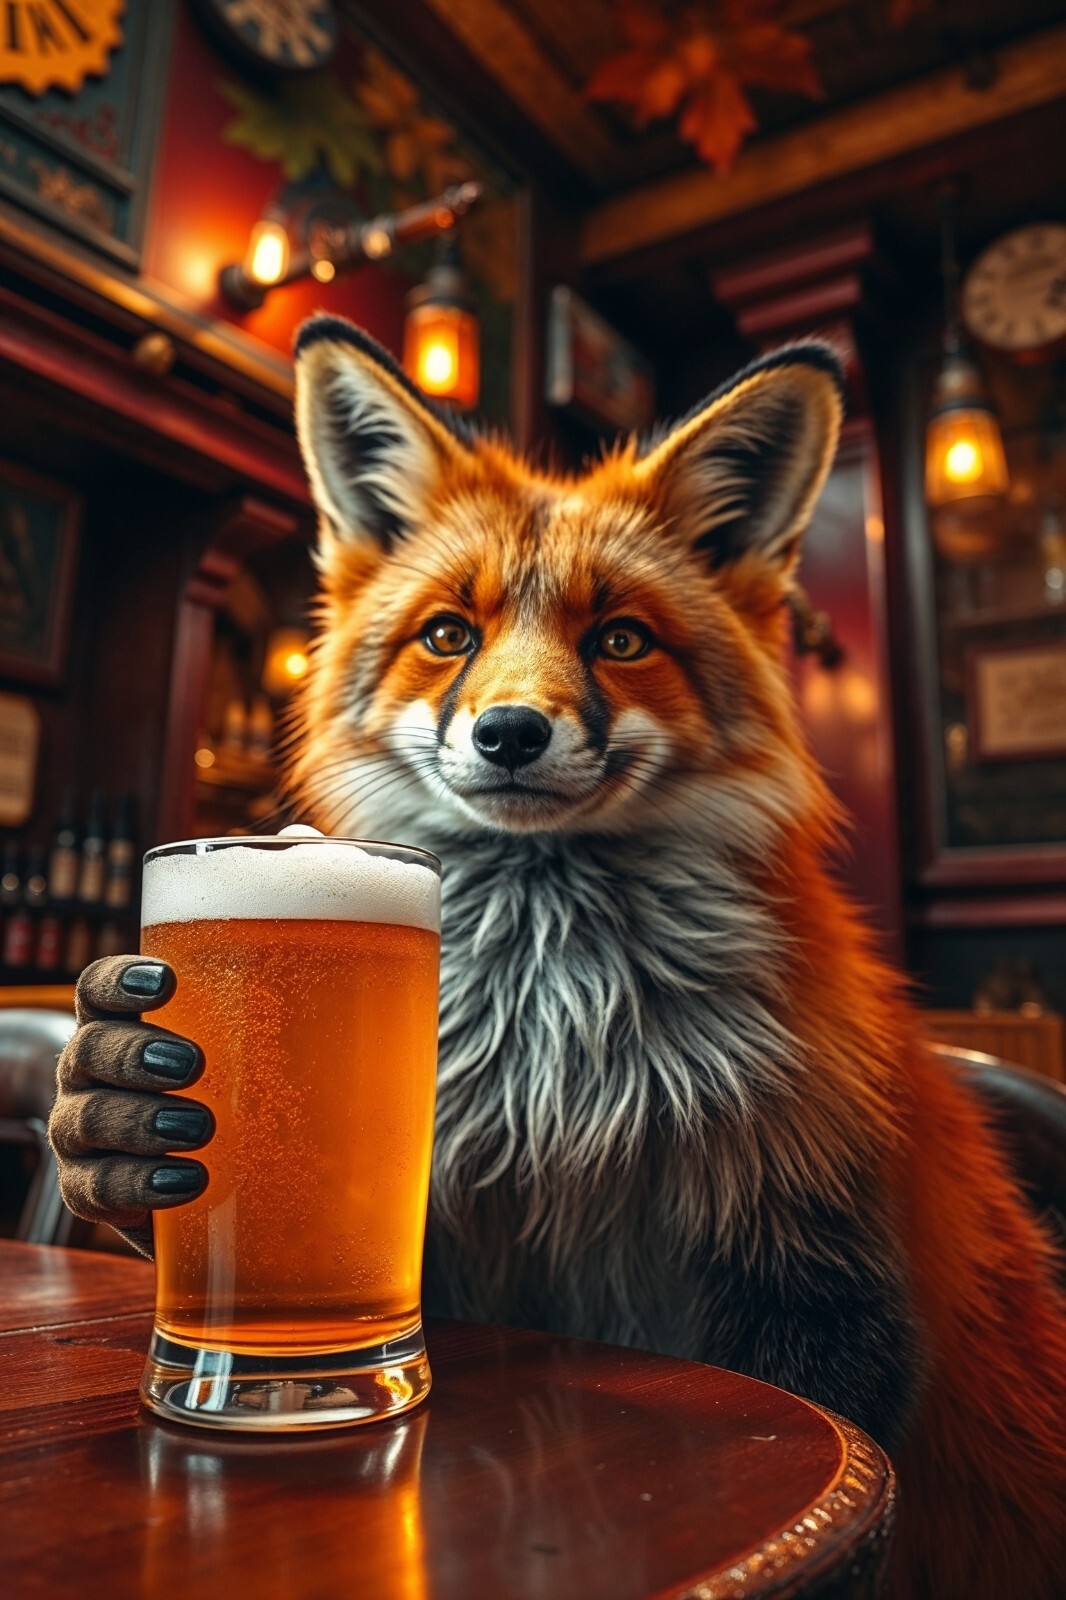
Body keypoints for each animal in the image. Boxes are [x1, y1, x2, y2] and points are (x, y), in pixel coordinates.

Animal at [50, 317, 1066, 1600]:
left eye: (619, 639)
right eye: (448, 636)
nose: (509, 733)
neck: (559, 1063)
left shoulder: (819, 1269)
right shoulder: (441, 1231)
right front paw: (114, 1110)